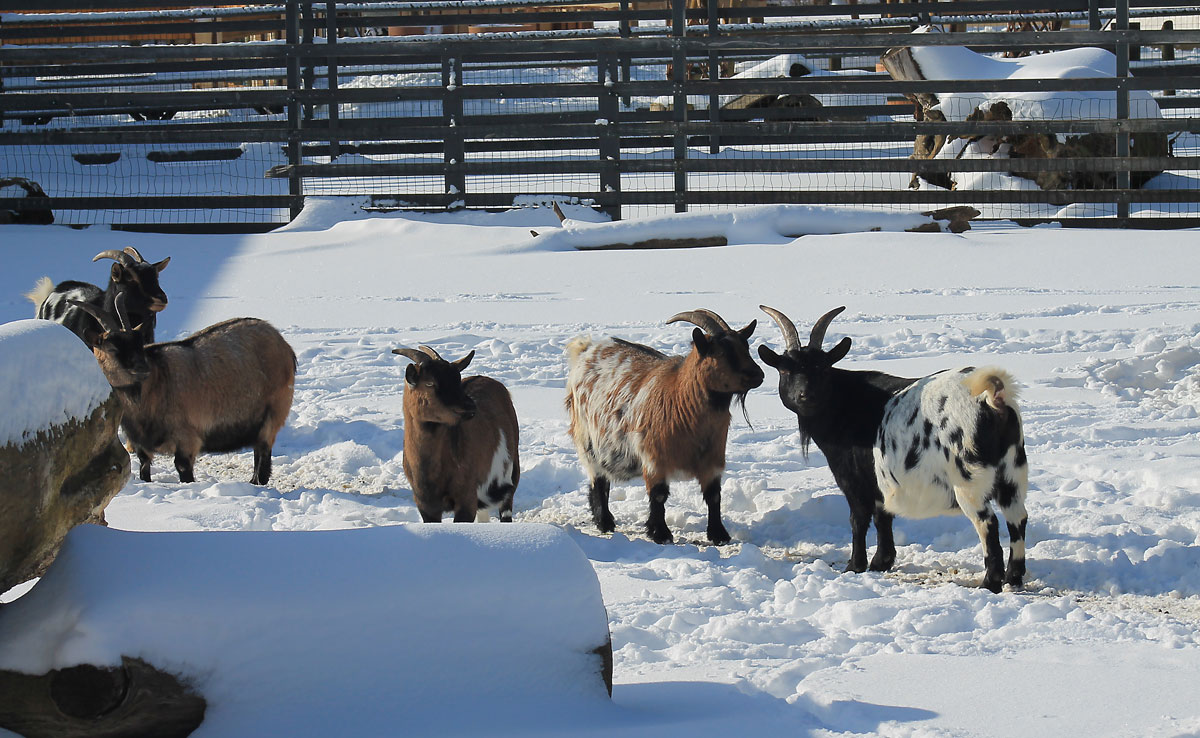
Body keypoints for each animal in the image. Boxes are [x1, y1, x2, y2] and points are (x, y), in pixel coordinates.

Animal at [70, 294, 295, 484]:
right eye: (113, 348)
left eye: (138, 343)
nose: (142, 368)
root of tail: (284, 346)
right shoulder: (141, 443)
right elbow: (144, 467)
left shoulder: (186, 436)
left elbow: (183, 468)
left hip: (274, 410)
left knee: (263, 451)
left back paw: (256, 483)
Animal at [393, 343, 520, 523]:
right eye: (429, 383)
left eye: (458, 380)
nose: (470, 406)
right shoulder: (426, 505)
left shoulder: (466, 499)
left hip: (510, 473)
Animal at [566, 309, 763, 544]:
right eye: (723, 351)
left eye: (746, 346)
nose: (758, 375)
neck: (679, 400)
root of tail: (586, 348)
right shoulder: (654, 459)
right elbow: (659, 495)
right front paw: (660, 533)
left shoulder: (713, 459)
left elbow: (714, 495)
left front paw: (719, 534)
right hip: (588, 439)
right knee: (599, 480)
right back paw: (605, 522)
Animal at [758, 306, 1032, 595]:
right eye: (785, 370)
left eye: (821, 368)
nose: (805, 396)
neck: (844, 404)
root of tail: (993, 398)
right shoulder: (880, 479)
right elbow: (883, 516)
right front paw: (882, 561)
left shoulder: (852, 478)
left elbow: (859, 519)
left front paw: (855, 566)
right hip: (1012, 473)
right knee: (1018, 519)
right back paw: (1013, 578)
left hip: (969, 481)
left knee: (988, 524)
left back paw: (990, 583)